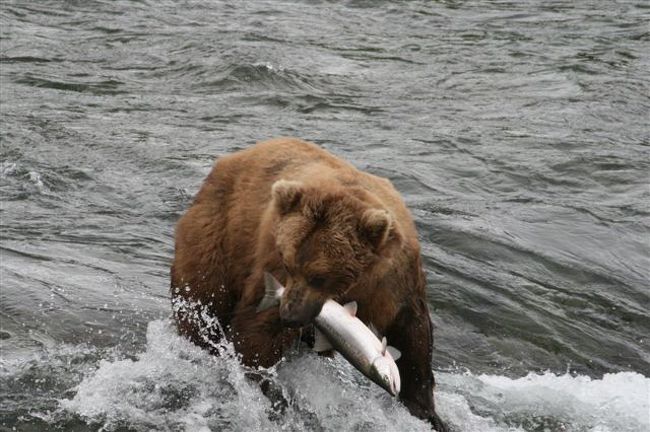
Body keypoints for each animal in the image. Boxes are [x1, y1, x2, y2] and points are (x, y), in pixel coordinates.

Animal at [171, 138, 446, 432]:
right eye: (288, 264)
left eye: (319, 276)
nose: (289, 315)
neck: (357, 282)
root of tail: (227, 161)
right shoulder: (272, 256)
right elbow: (258, 332)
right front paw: (259, 382)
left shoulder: (394, 280)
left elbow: (411, 335)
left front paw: (427, 411)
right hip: (219, 233)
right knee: (203, 297)